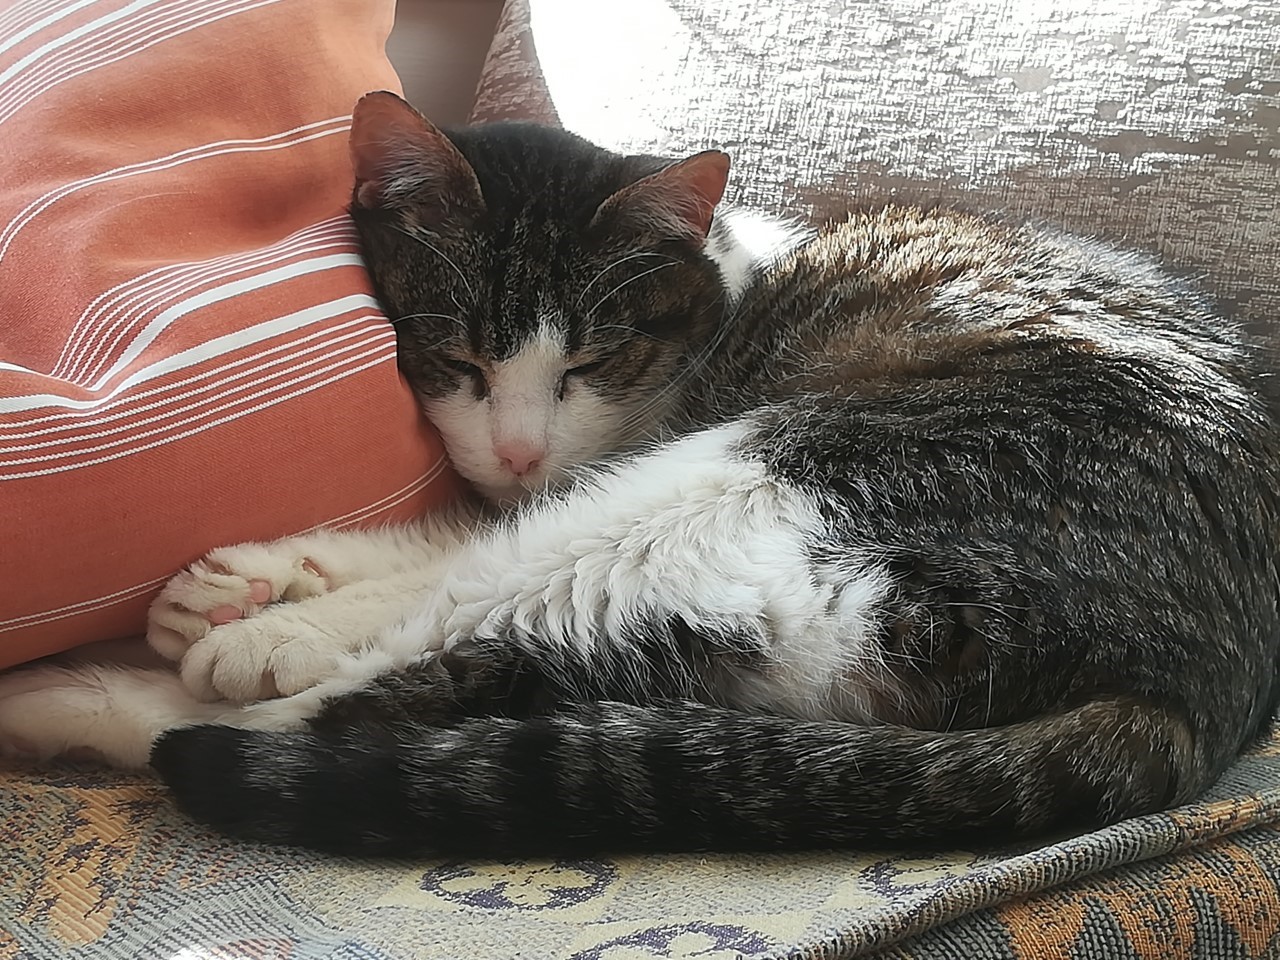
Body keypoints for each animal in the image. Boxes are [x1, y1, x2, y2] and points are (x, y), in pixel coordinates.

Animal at [2, 86, 1280, 860]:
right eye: (454, 359)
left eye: (590, 361)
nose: (520, 448)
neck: (715, 293)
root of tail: (1196, 685)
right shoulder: (534, 481)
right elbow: (447, 527)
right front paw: (258, 576)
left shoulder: (622, 456)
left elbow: (452, 555)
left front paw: (266, 616)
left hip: (773, 469)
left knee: (391, 680)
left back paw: (102, 693)